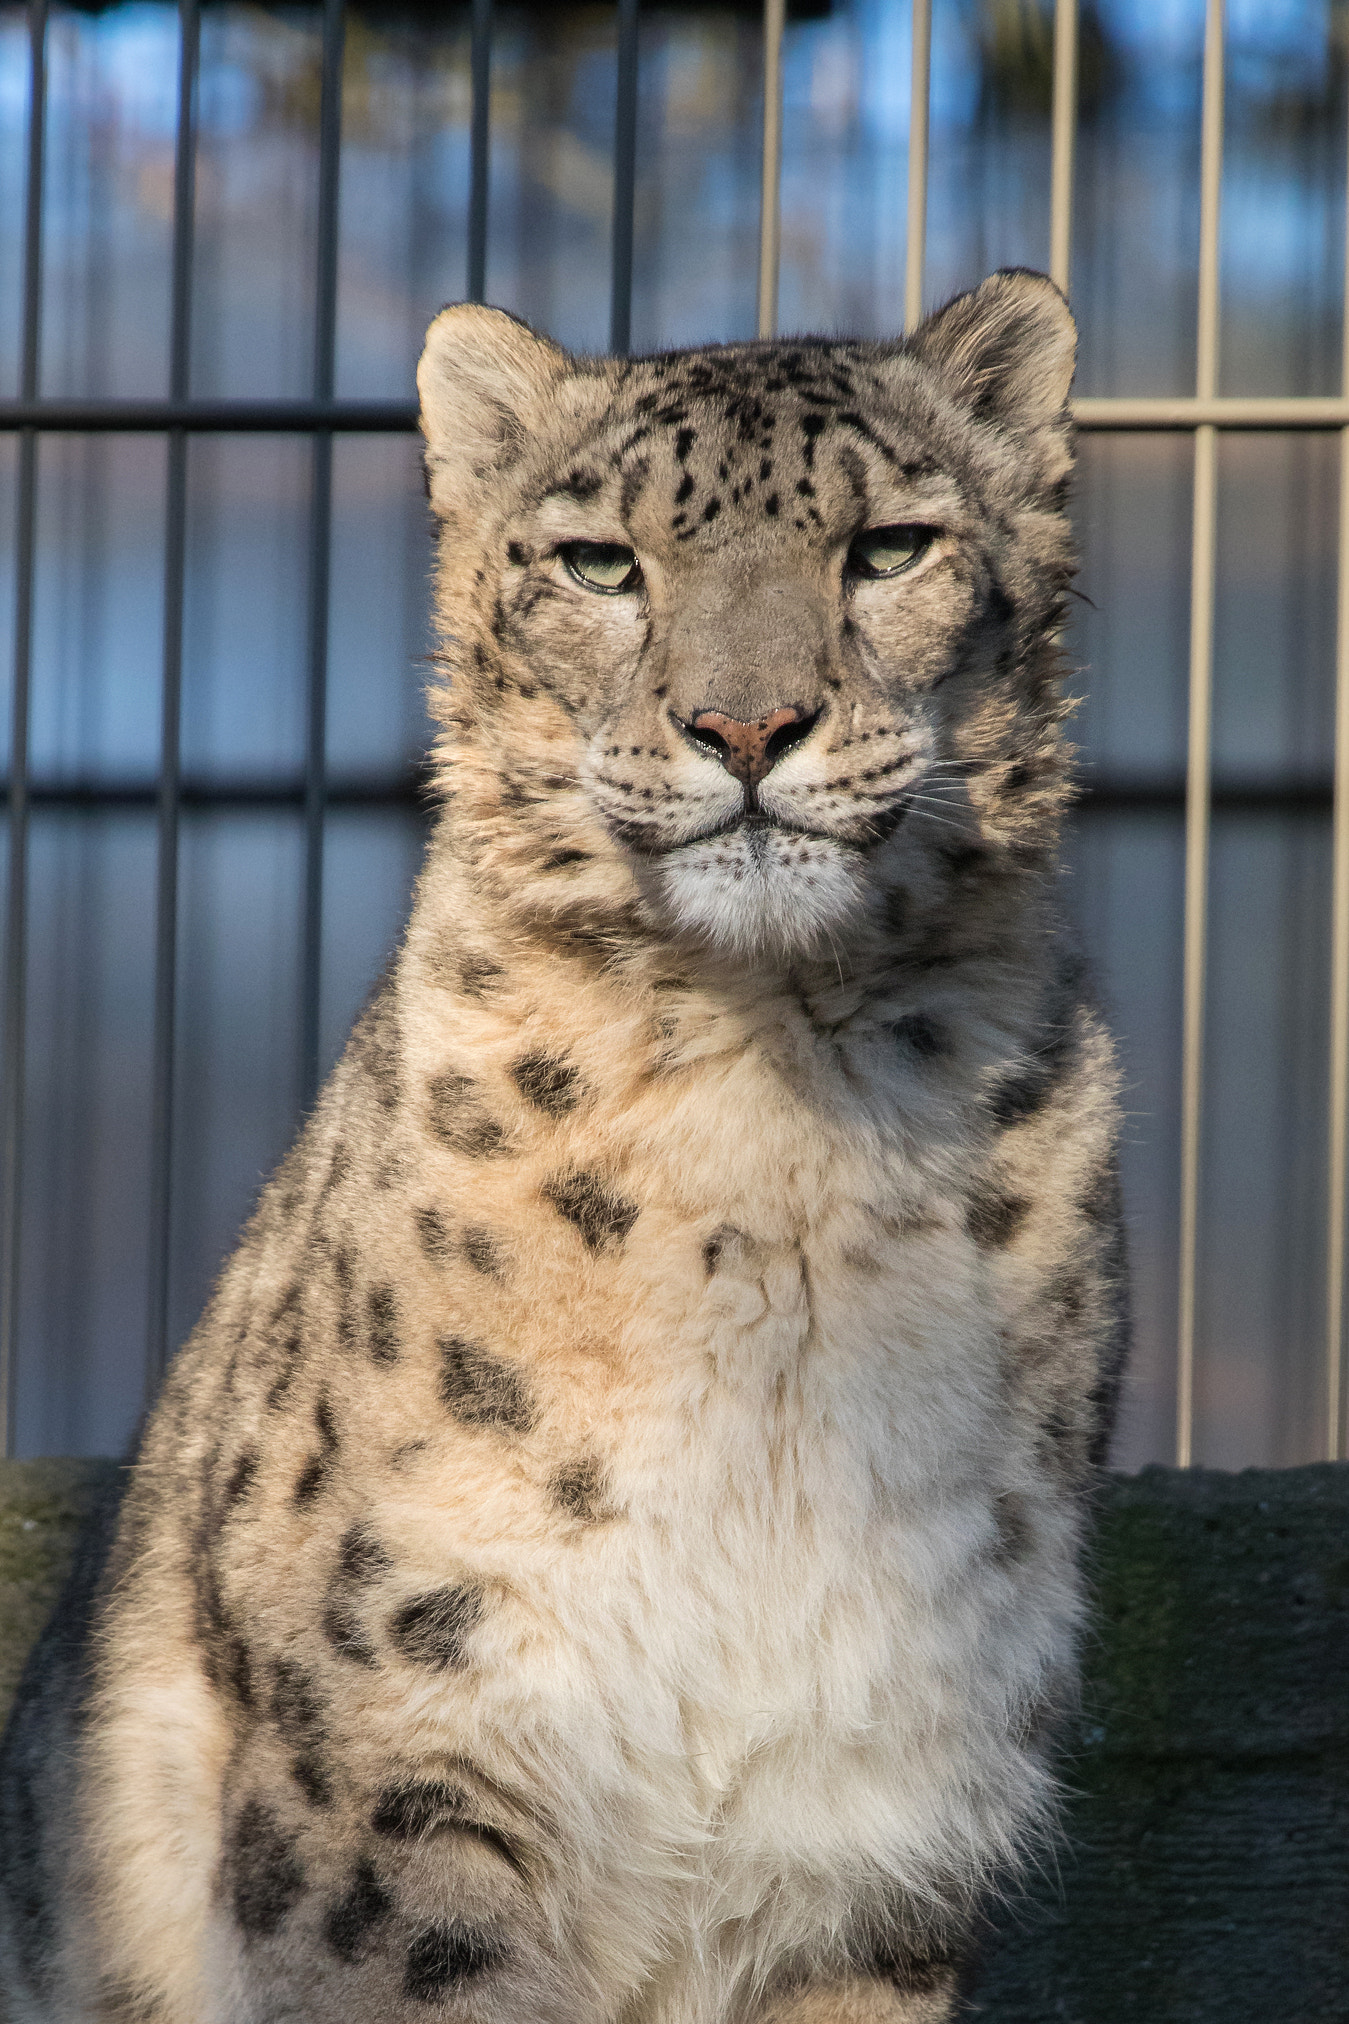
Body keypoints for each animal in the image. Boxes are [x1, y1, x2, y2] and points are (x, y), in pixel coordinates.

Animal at [0, 268, 1126, 2024]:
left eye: (888, 547)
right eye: (601, 563)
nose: (749, 723)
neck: (773, 1122)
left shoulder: (880, 1806)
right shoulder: (406, 1739)